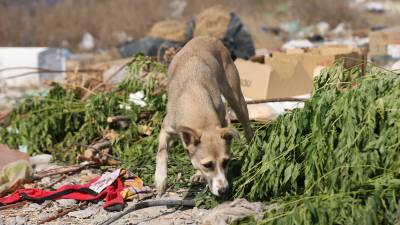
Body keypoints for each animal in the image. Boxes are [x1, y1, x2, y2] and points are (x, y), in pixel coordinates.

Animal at [155, 36, 252, 196]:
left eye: (226, 162)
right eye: (207, 165)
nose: (224, 190)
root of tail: (207, 37)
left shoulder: (221, 120)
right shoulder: (166, 128)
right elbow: (162, 151)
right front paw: (160, 180)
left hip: (235, 96)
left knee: (246, 123)